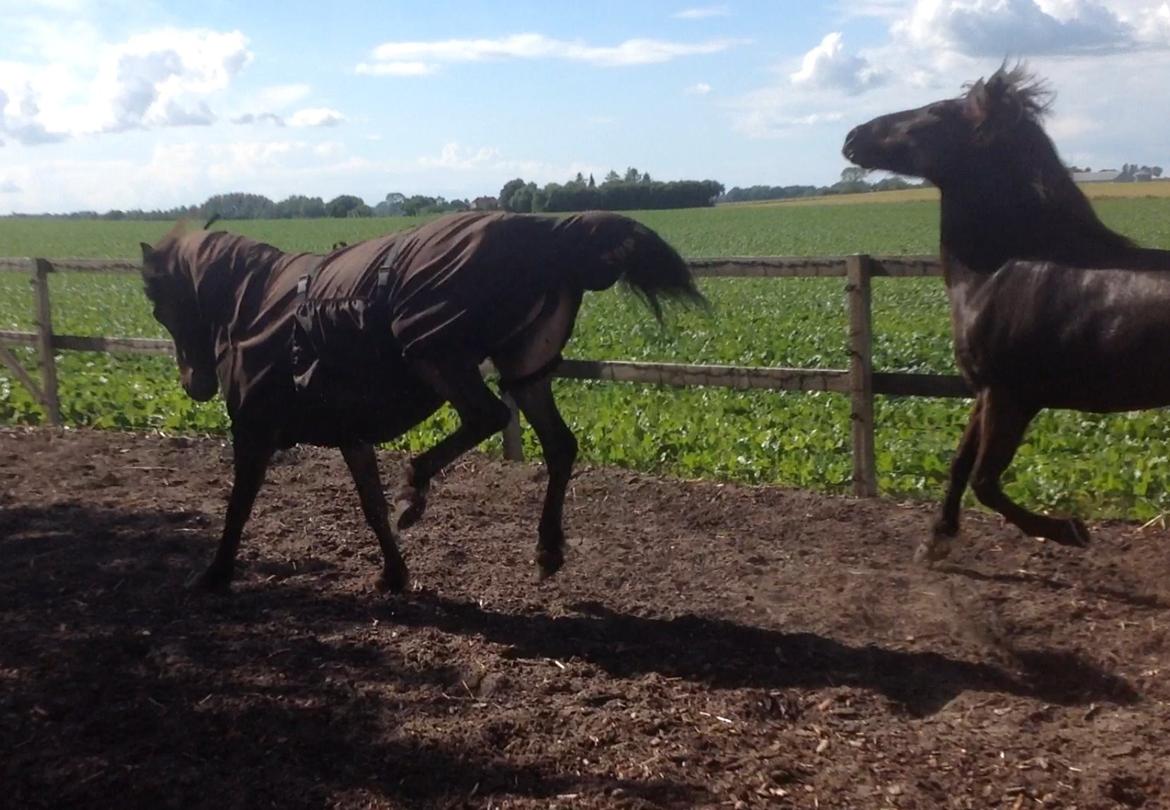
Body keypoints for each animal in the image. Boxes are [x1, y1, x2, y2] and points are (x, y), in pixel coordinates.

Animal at [136, 208, 702, 592]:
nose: (195, 385)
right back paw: (546, 549)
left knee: (488, 416)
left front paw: (214, 573)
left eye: (160, 306)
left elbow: (238, 507)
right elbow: (371, 508)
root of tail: (549, 233)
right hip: (526, 371)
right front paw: (393, 574)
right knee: (560, 447)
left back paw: (417, 488)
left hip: (434, 350)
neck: (254, 302)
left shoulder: (254, 433)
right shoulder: (350, 435)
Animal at [842, 66, 1170, 564]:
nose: (852, 136)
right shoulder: (986, 390)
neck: (1000, 271)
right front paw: (936, 538)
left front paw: (1071, 529)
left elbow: (985, 482)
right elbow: (960, 463)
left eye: (935, 111)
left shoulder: (1012, 395)